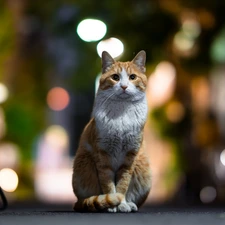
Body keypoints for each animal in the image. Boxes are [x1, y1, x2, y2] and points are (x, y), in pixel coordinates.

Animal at [72, 50, 151, 212]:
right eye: (115, 77)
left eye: (132, 77)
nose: (124, 86)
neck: (122, 111)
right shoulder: (103, 156)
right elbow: (108, 184)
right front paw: (112, 203)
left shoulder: (129, 157)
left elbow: (122, 185)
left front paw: (122, 204)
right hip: (84, 163)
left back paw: (130, 203)